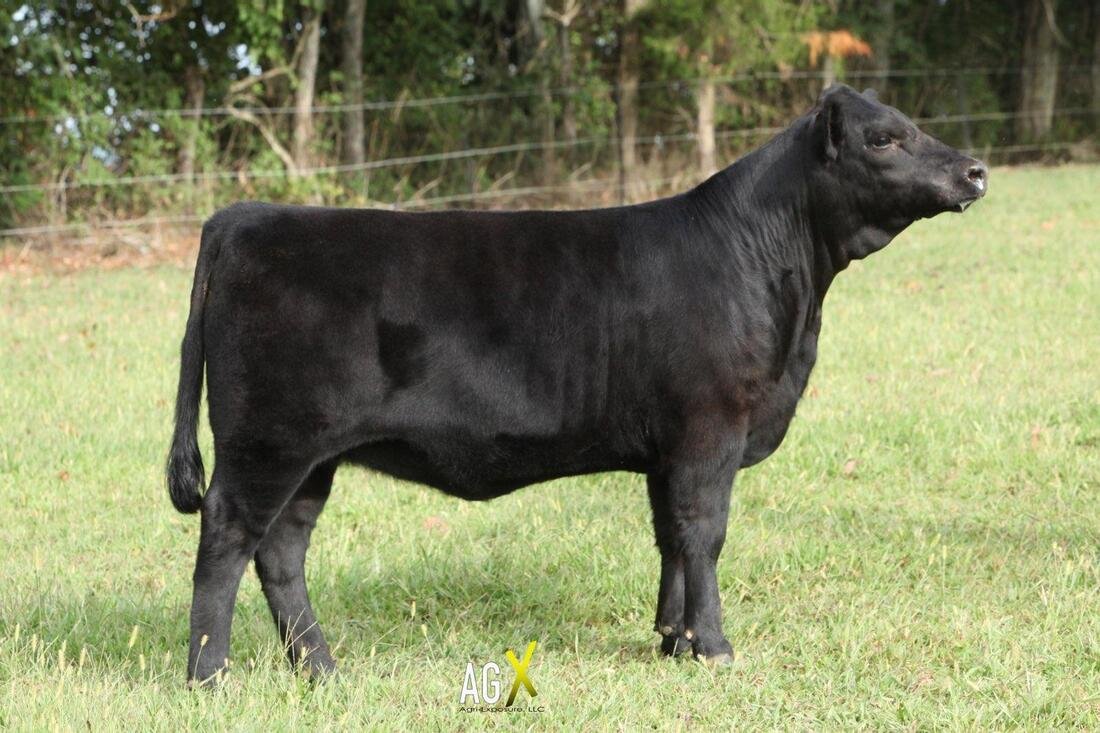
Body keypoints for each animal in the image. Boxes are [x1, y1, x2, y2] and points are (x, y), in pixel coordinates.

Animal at [166, 84, 987, 684]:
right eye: (883, 138)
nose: (976, 170)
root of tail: (244, 216)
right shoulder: (710, 427)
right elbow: (705, 531)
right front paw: (715, 647)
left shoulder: (669, 446)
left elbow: (669, 535)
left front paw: (672, 637)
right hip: (269, 441)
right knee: (227, 537)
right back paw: (211, 674)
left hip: (312, 457)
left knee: (281, 553)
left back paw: (321, 668)